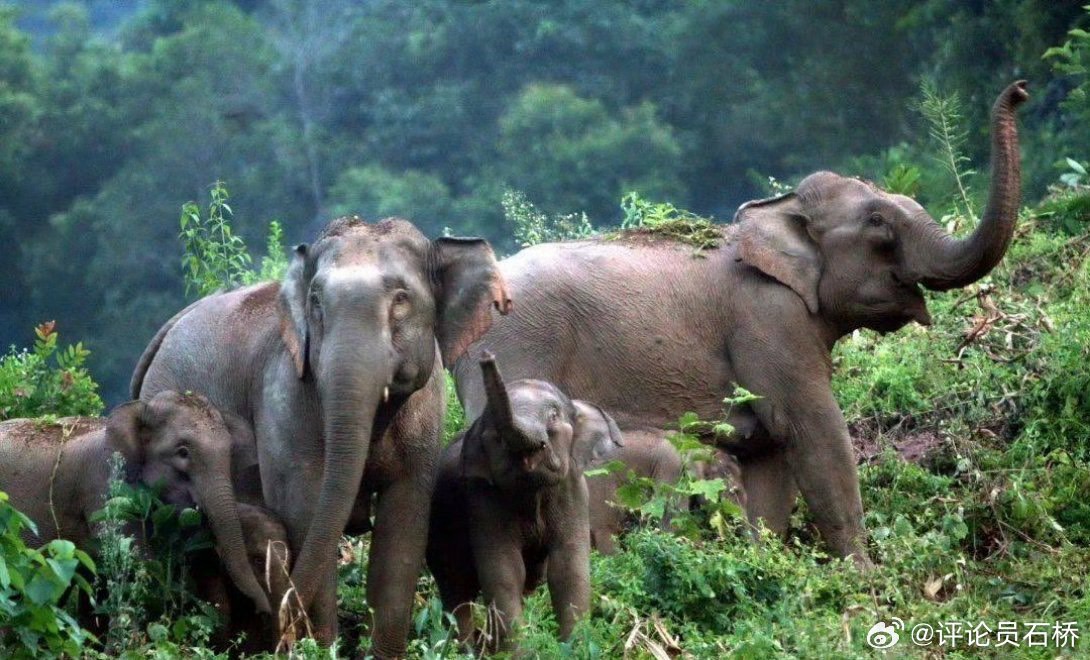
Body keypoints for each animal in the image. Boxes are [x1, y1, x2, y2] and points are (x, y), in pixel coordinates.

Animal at [130, 218, 510, 657]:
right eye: (316, 302)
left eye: (401, 299)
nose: (279, 626)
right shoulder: (285, 395)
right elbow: (306, 510)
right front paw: (321, 647)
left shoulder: (426, 410)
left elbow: (404, 522)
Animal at [429, 355, 627, 653]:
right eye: (494, 431)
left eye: (554, 415)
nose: (487, 356)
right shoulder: (482, 501)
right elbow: (505, 572)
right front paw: (517, 653)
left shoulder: (573, 493)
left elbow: (568, 568)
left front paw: (573, 649)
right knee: (456, 589)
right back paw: (465, 650)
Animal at [457, 82, 1028, 570]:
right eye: (879, 224)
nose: (1020, 89)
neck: (774, 218)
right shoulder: (770, 323)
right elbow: (815, 432)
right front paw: (863, 579)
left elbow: (773, 455)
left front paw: (767, 558)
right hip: (515, 353)